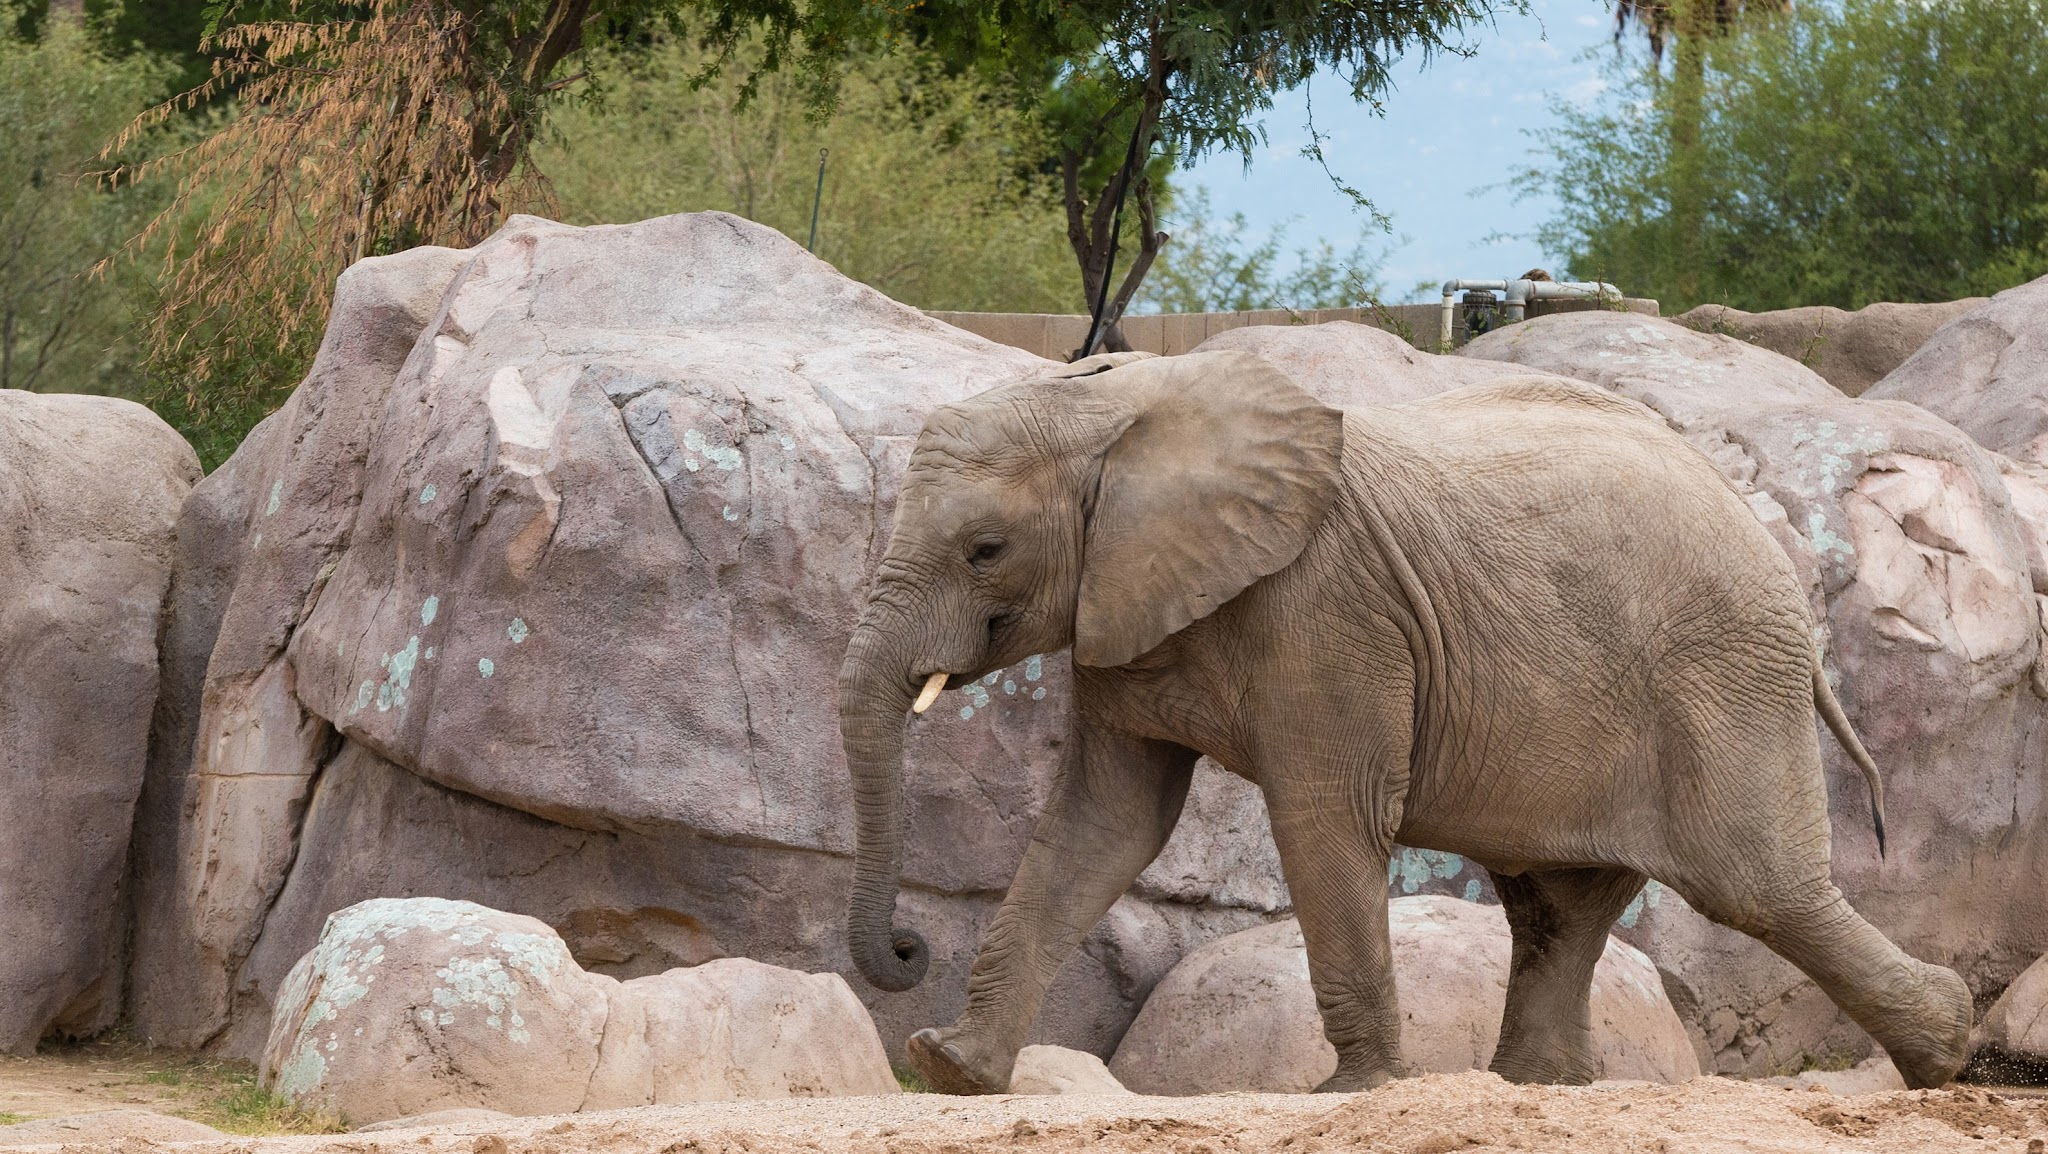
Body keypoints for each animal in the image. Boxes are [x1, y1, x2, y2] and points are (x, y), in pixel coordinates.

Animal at [839, 350, 1974, 1090]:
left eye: (984, 550)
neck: (1124, 408)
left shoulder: (1324, 608)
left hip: (1722, 675)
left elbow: (1323, 817)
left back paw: (1951, 1048)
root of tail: (1767, 545)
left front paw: (1355, 1094)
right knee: (1560, 905)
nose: (906, 948)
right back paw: (1530, 1091)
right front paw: (954, 1070)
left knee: (1761, 888)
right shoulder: (1123, 605)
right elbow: (1102, 825)